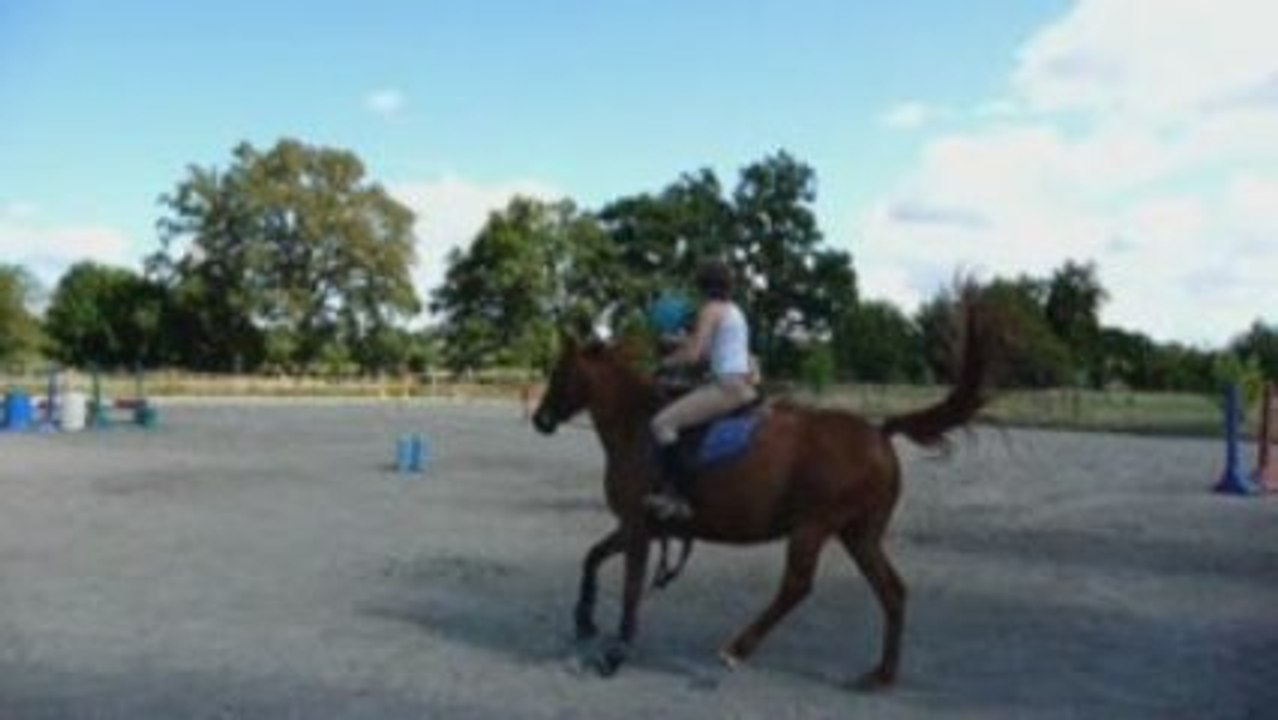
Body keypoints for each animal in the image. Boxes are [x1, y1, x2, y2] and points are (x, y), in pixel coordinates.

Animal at [531, 305, 991, 689]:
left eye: (558, 372)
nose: (540, 420)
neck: (637, 426)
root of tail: (879, 432)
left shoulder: (640, 526)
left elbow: (629, 587)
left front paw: (616, 652)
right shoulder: (636, 525)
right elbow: (592, 557)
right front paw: (584, 620)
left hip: (813, 527)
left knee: (797, 586)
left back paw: (737, 649)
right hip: (859, 535)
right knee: (892, 592)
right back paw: (881, 674)